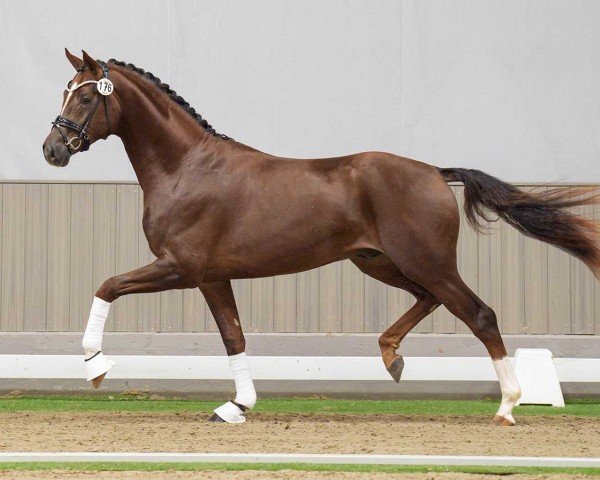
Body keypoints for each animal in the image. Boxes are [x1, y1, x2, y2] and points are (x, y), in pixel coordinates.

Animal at [43, 48, 600, 424]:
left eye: (87, 94)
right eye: (65, 90)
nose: (53, 149)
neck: (186, 168)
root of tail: (436, 173)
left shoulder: (182, 268)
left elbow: (107, 285)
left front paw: (95, 366)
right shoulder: (213, 277)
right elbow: (233, 336)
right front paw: (237, 406)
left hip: (425, 262)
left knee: (479, 314)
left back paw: (507, 406)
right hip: (380, 262)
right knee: (430, 301)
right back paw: (392, 356)